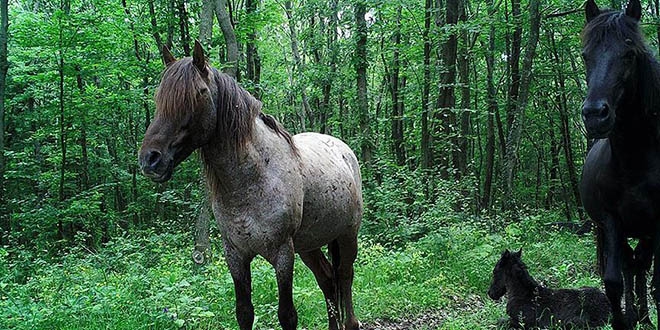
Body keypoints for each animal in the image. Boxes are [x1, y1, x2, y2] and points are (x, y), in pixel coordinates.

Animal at [138, 42, 360, 330]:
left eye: (199, 92)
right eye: (159, 96)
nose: (150, 159)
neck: (251, 182)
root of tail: (344, 150)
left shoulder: (282, 254)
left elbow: (287, 315)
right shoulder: (235, 255)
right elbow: (244, 312)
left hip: (347, 235)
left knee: (344, 277)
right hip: (309, 245)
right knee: (327, 279)